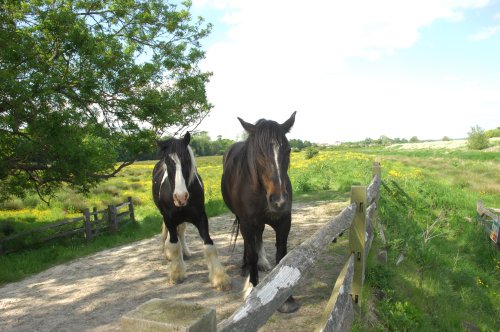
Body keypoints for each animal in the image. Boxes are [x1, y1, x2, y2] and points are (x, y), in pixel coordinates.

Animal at [152, 132, 230, 290]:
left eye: (187, 160)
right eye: (168, 162)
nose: (181, 197)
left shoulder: (200, 217)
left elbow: (209, 244)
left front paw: (219, 277)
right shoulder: (169, 218)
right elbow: (174, 244)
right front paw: (177, 273)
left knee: (181, 232)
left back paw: (185, 252)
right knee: (170, 235)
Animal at [221, 113, 298, 312]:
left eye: (288, 150)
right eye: (259, 153)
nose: (279, 201)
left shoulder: (284, 222)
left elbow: (281, 254)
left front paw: (286, 299)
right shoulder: (247, 223)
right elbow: (252, 254)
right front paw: (253, 290)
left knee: (259, 236)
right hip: (242, 221)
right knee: (247, 244)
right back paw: (245, 268)